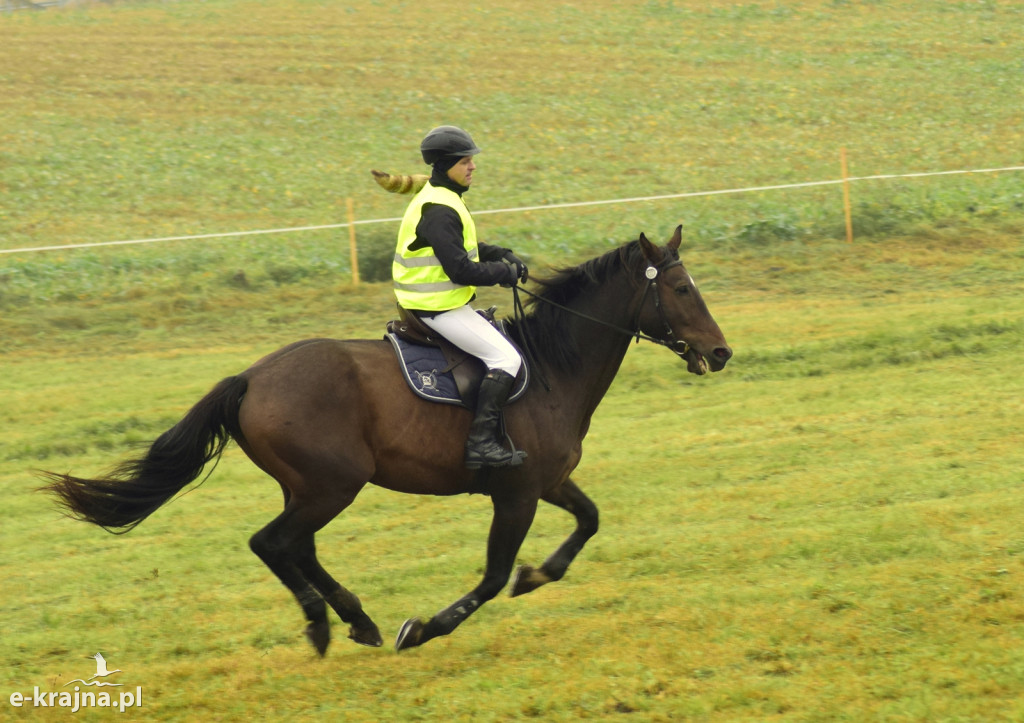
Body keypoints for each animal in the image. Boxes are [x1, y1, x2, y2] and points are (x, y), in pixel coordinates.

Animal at [39, 225, 729, 655]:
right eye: (681, 289)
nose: (721, 353)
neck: (550, 368)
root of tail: (252, 377)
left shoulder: (548, 482)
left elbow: (588, 521)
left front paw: (537, 575)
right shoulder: (517, 495)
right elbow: (490, 576)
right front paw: (425, 628)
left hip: (312, 488)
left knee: (297, 547)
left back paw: (355, 620)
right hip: (331, 485)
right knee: (273, 543)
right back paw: (328, 623)